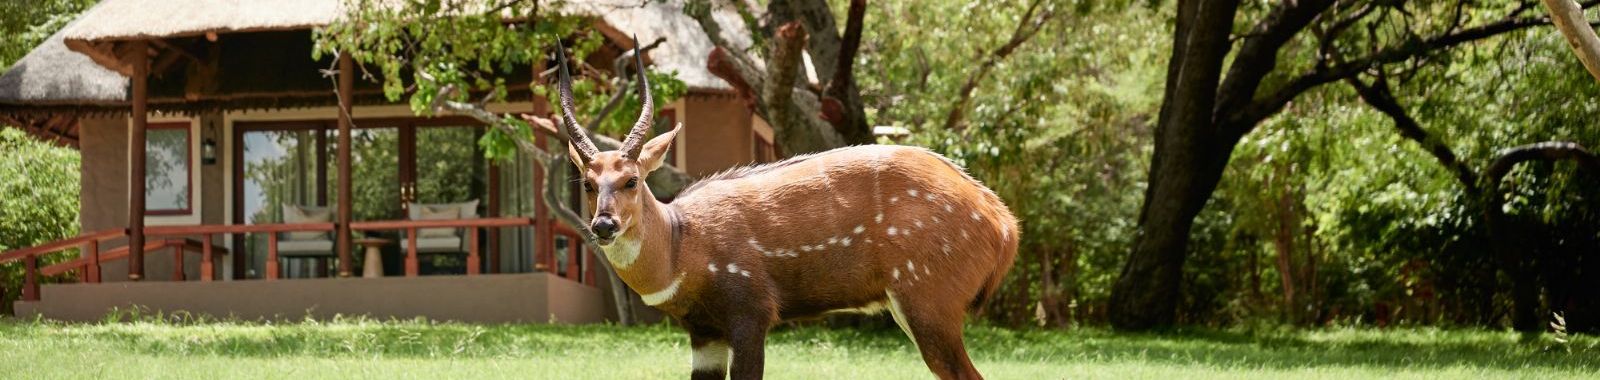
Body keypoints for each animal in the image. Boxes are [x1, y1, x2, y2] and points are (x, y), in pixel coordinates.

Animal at [556, 40, 1017, 378]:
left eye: (632, 180)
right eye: (588, 183)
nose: (604, 224)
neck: (681, 247)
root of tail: (1004, 223)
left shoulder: (751, 313)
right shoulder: (704, 333)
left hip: (929, 302)